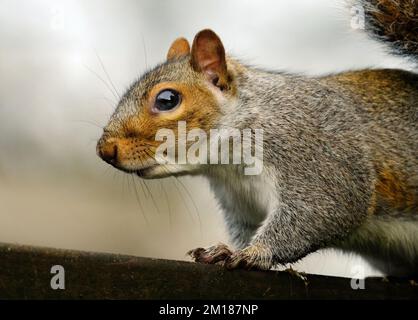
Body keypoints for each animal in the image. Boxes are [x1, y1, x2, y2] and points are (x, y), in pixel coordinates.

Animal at [98, 0, 418, 276]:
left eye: (167, 99)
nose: (105, 150)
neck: (229, 162)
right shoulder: (240, 205)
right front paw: (223, 250)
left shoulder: (315, 157)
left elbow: (327, 208)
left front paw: (251, 253)